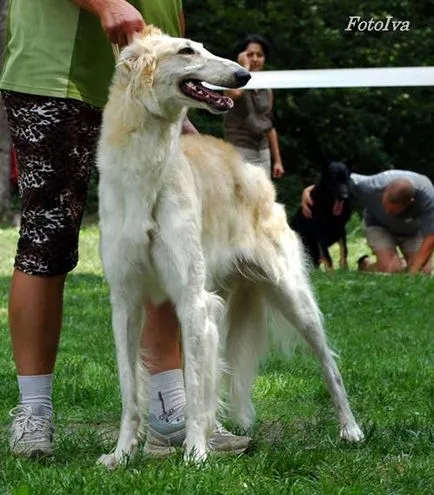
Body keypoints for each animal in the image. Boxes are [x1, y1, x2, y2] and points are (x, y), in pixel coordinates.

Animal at [96, 26, 364, 468]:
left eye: (201, 47)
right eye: (187, 51)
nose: (244, 76)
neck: (147, 178)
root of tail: (255, 176)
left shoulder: (192, 300)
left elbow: (195, 387)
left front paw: (195, 453)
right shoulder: (125, 302)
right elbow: (129, 390)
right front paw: (121, 454)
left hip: (292, 297)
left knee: (330, 365)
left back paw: (351, 429)